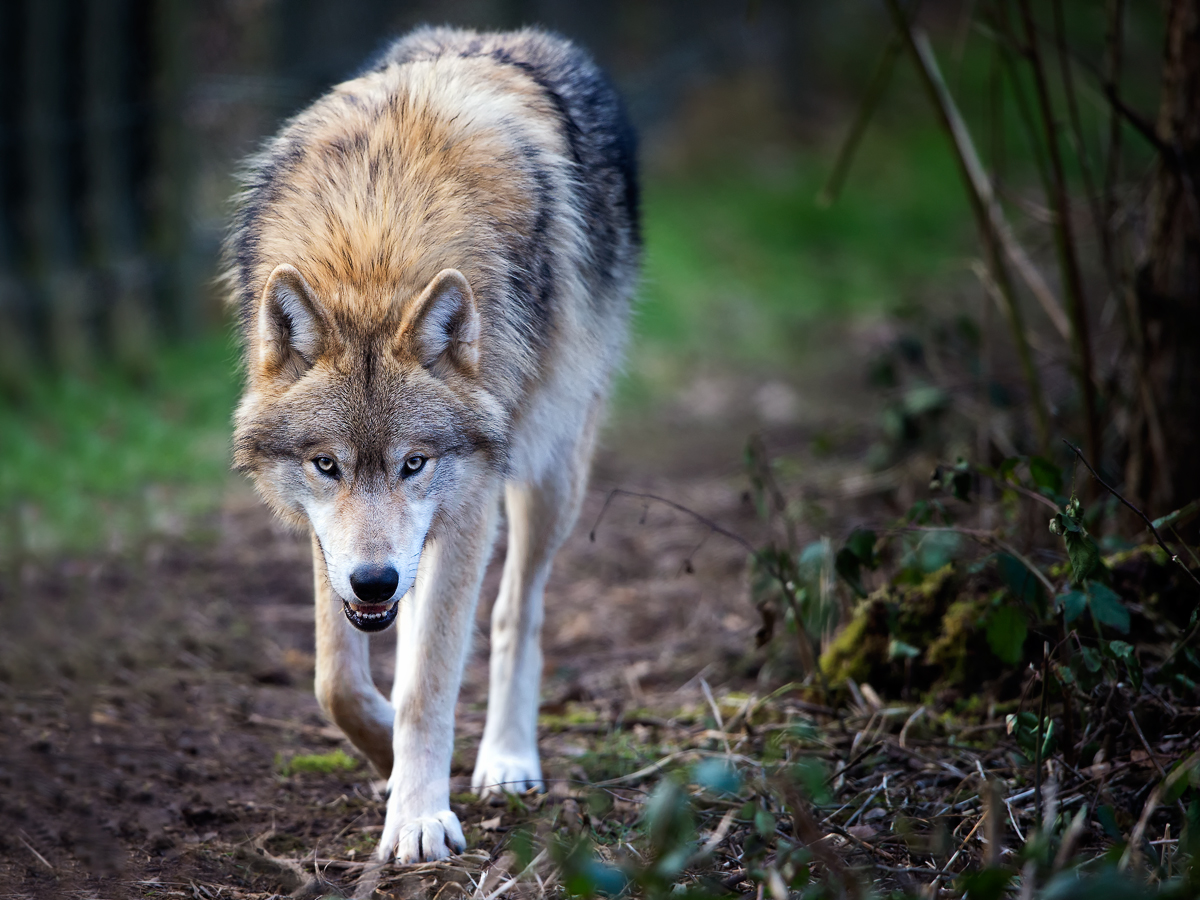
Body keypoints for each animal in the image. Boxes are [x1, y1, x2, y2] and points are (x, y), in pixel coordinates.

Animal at [225, 27, 639, 863]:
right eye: (326, 465)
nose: (374, 580)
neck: (373, 249)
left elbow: (429, 683)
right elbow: (336, 681)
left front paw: (418, 816)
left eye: (414, 462)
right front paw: (388, 757)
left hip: (548, 471)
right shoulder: (331, 539)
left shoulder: (472, 495)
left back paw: (506, 759)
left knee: (517, 610)